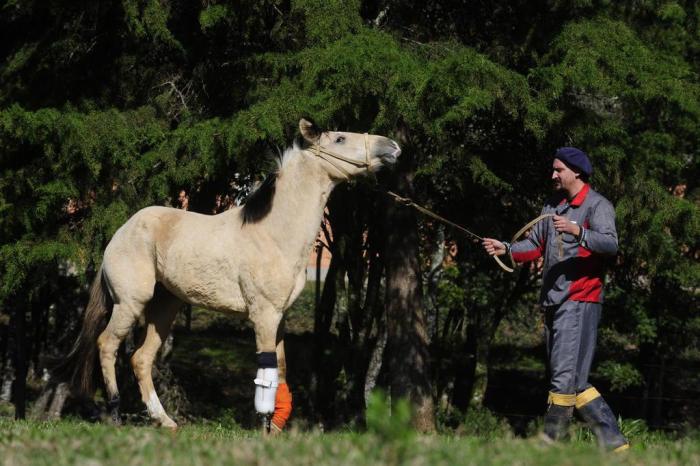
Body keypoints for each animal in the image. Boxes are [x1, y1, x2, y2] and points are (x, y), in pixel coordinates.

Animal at [65, 119, 402, 430]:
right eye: (340, 138)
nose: (393, 147)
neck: (273, 234)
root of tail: (118, 234)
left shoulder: (279, 316)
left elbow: (280, 368)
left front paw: (276, 428)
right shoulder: (263, 315)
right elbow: (266, 372)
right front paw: (265, 427)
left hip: (165, 307)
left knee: (140, 358)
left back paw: (165, 421)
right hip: (130, 303)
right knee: (107, 345)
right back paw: (114, 414)